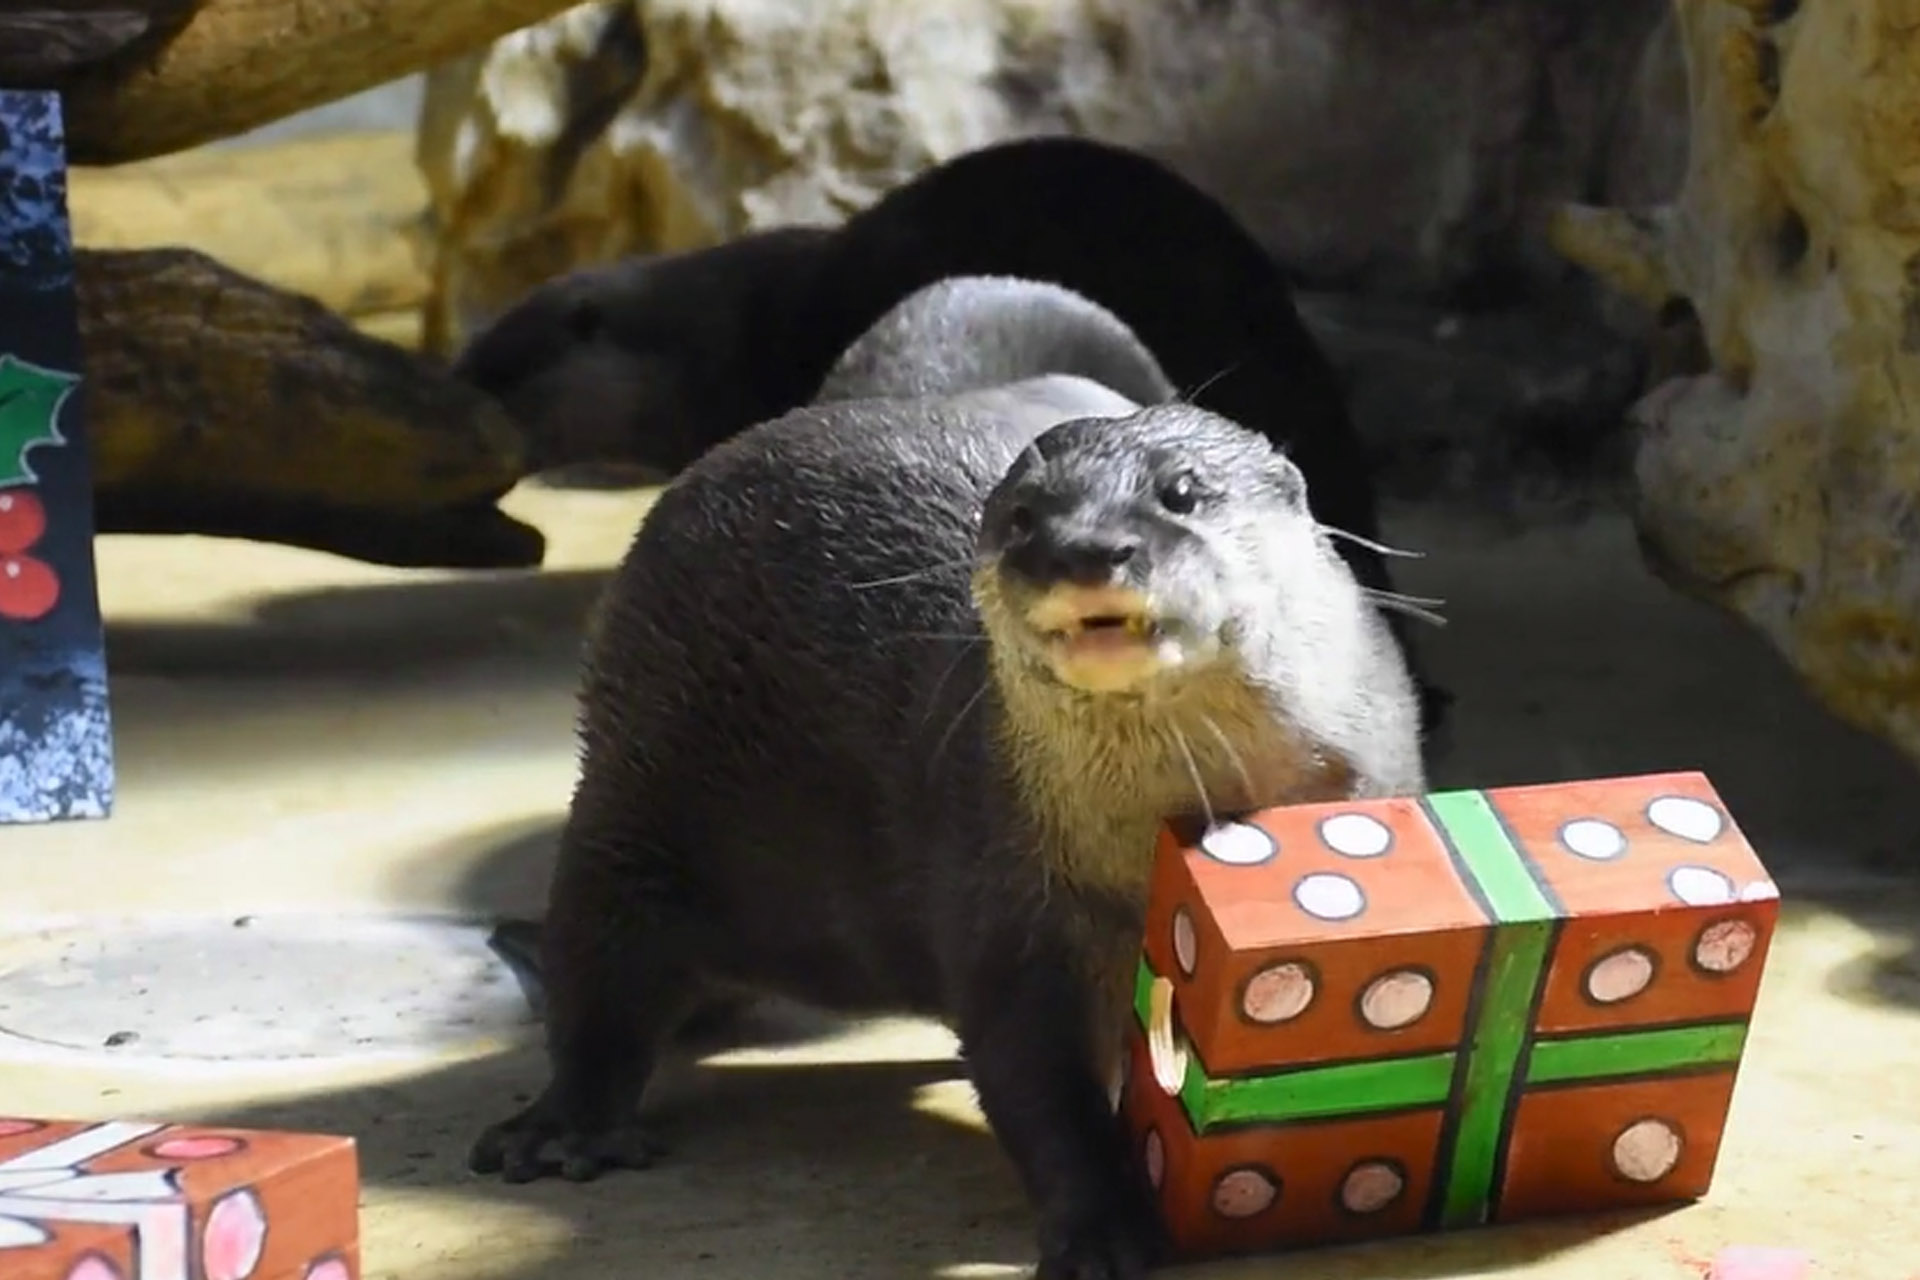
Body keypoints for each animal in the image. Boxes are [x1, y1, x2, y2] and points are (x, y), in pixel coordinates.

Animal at [468, 282, 1428, 1280]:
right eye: (1025, 518)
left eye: (1182, 491)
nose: (1088, 548)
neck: (1158, 837)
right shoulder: (1003, 877)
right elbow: (1031, 1076)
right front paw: (1102, 1229)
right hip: (638, 791)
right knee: (601, 963)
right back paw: (563, 1129)